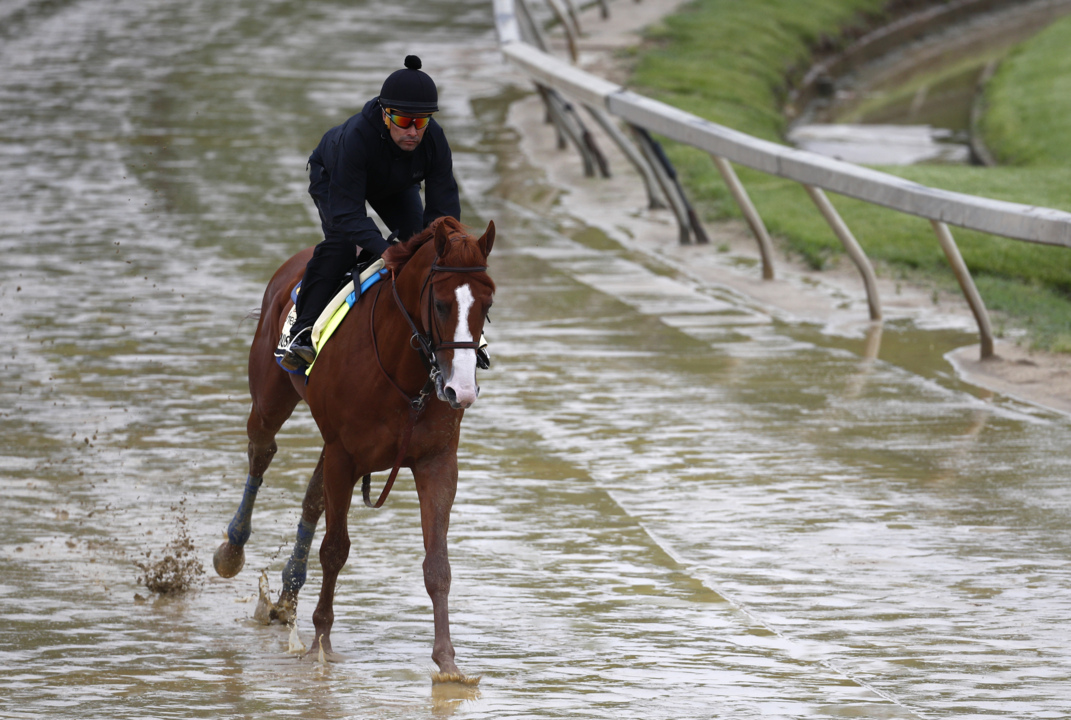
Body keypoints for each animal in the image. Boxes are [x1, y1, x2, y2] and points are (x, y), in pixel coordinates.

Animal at [212, 216, 495, 681]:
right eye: (440, 304)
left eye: (487, 305)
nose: (462, 390)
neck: (402, 373)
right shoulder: (344, 455)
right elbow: (335, 550)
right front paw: (321, 644)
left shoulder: (436, 461)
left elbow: (437, 564)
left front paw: (448, 661)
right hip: (271, 397)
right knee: (261, 451)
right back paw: (233, 549)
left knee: (312, 497)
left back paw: (288, 594)